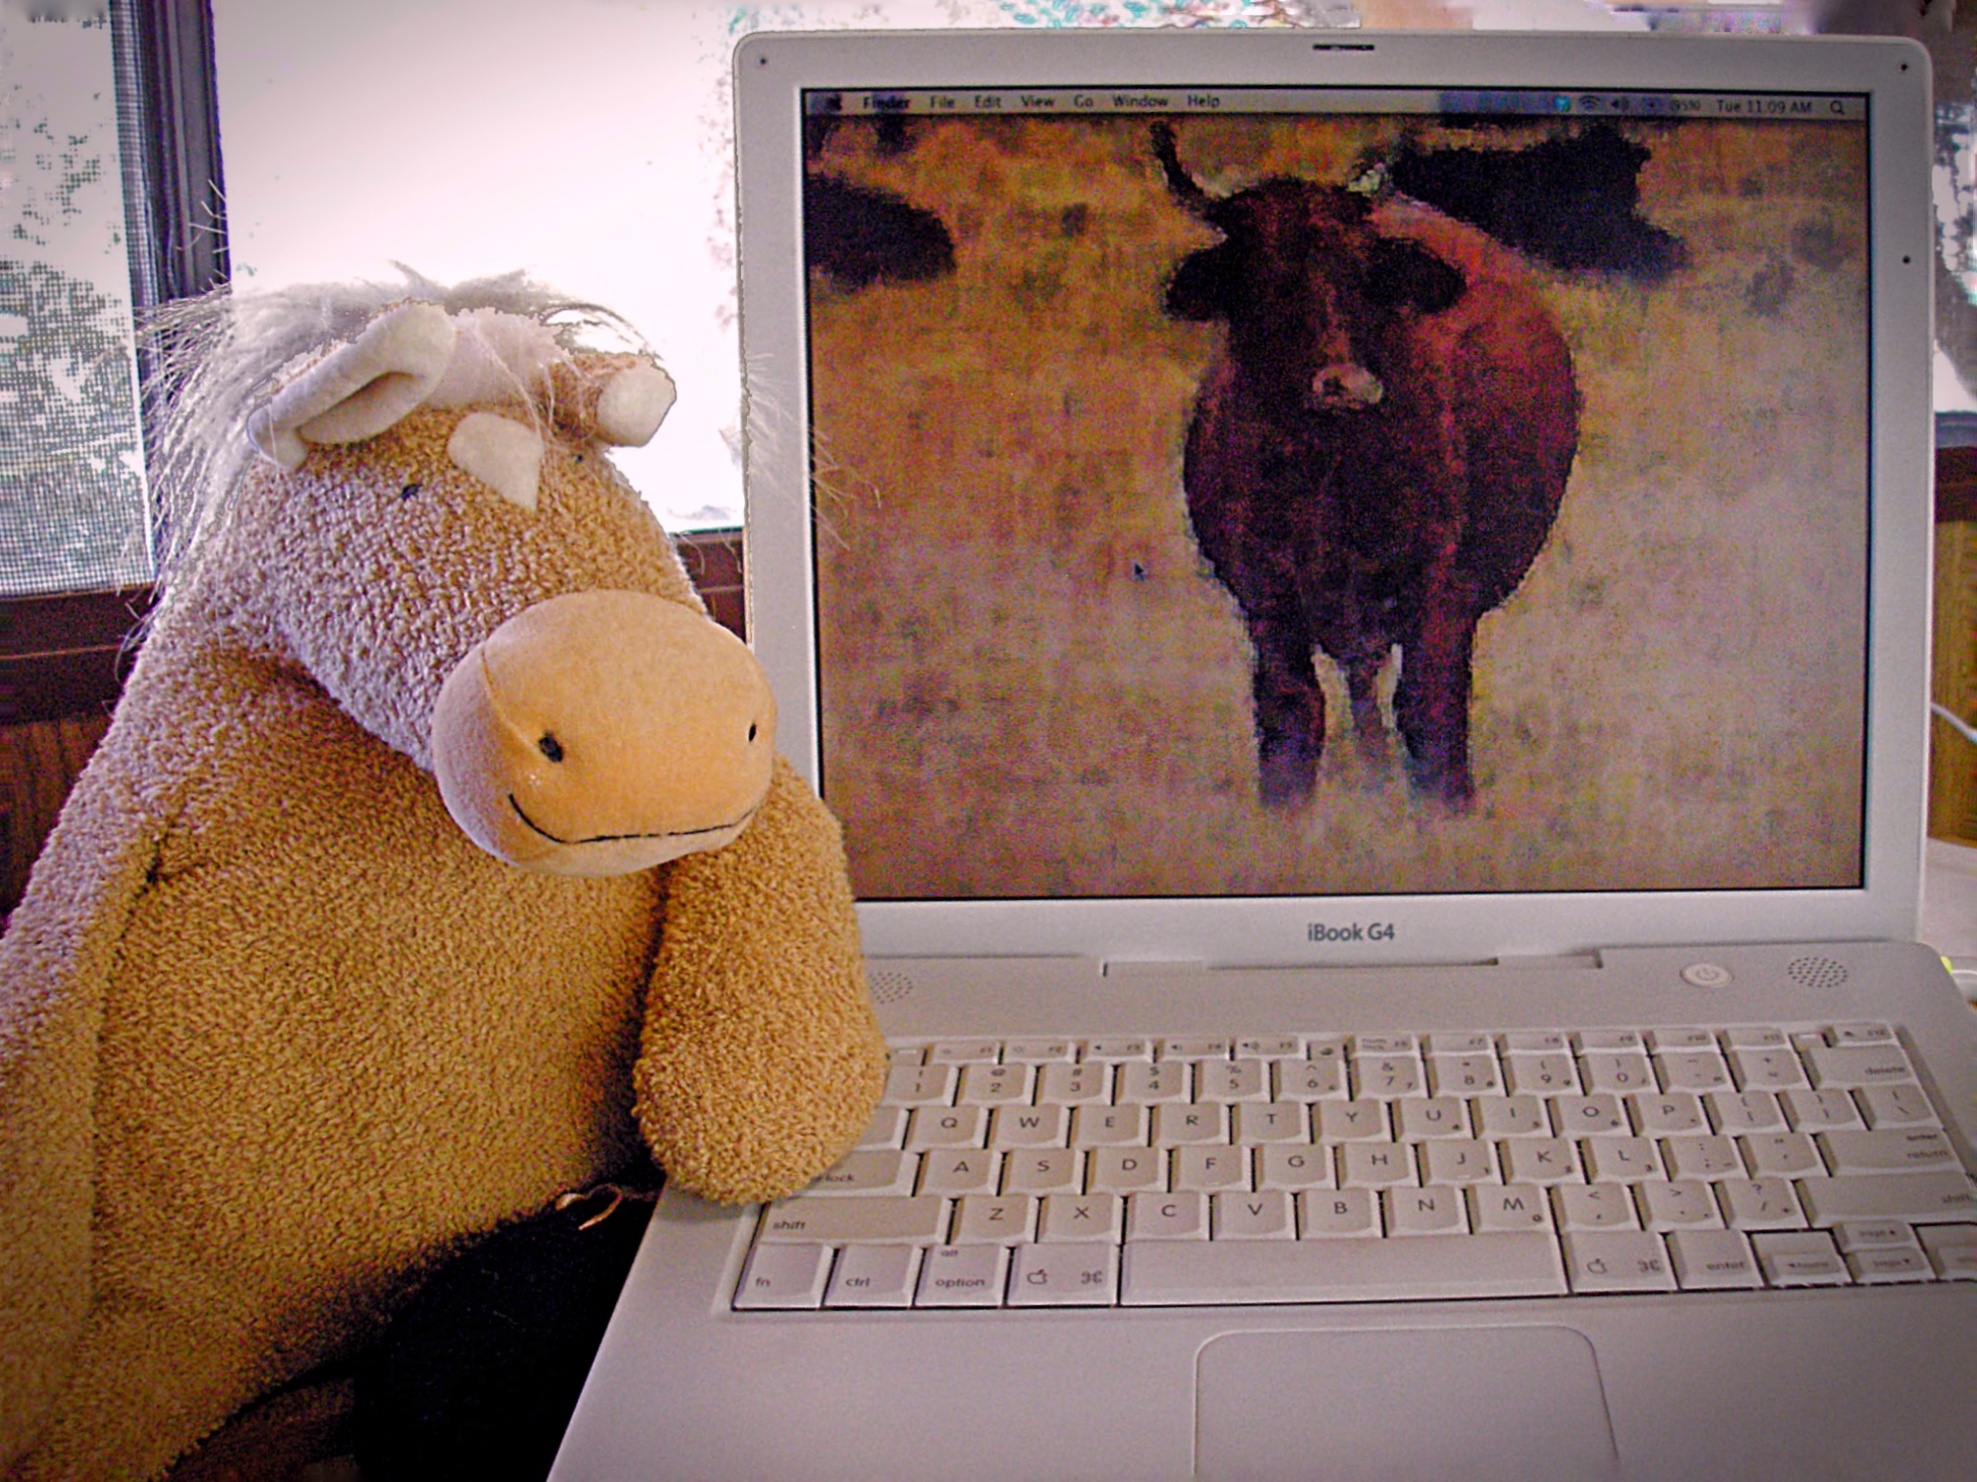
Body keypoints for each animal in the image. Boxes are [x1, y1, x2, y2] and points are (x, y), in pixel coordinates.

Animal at [1153, 122, 1579, 810]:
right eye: (1261, 277)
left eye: (1361, 274)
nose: (1346, 386)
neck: (1326, 472)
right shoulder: (1267, 601)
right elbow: (1292, 711)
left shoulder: (1439, 591)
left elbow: (1430, 709)